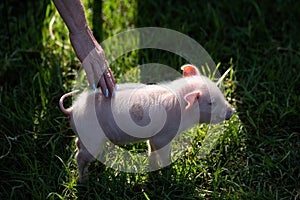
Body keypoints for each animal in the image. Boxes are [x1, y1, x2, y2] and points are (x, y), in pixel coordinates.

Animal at [59, 64, 236, 183]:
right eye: (211, 102)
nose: (232, 111)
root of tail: (72, 110)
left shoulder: (153, 136)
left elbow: (152, 149)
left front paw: (153, 167)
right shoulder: (163, 136)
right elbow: (163, 152)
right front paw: (168, 170)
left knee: (78, 144)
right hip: (92, 138)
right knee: (79, 157)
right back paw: (84, 180)